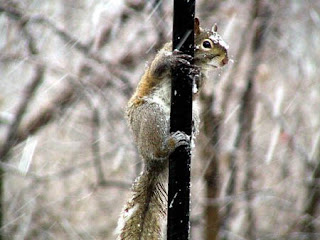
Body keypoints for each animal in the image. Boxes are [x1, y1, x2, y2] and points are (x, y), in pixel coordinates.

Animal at [115, 18, 228, 240]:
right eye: (207, 44)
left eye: (224, 42)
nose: (226, 60)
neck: (197, 64)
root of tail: (149, 160)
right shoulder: (162, 57)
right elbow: (157, 68)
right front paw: (172, 61)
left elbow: (197, 89)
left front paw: (195, 77)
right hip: (151, 115)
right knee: (158, 148)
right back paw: (171, 144)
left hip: (192, 115)